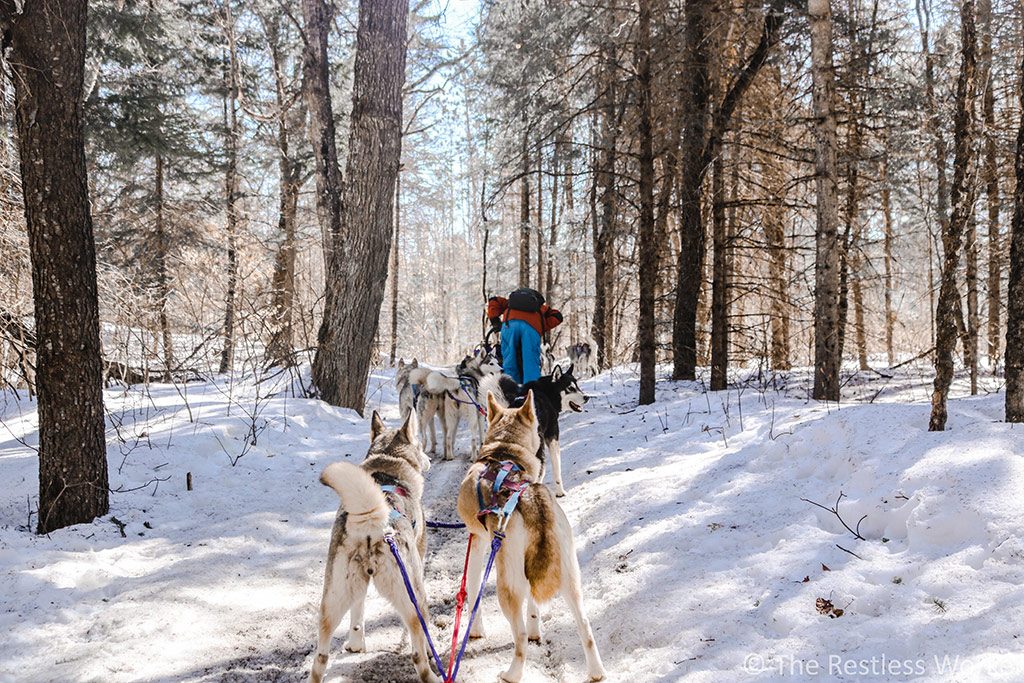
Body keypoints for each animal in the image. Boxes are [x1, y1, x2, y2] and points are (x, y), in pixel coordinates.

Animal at [311, 411, 440, 683]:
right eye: (420, 445)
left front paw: (355, 644)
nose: (429, 460)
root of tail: (372, 519)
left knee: (320, 660)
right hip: (414, 598)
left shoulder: (358, 587)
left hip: (333, 599)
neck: (387, 463)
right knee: (418, 656)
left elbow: (358, 613)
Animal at [454, 395, 598, 683]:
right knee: (585, 627)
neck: (503, 453)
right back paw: (596, 673)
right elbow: (534, 607)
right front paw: (535, 628)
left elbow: (473, 590)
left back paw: (511, 674)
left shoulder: (477, 540)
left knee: (518, 636)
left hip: (507, 585)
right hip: (569, 580)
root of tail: (534, 502)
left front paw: (475, 630)